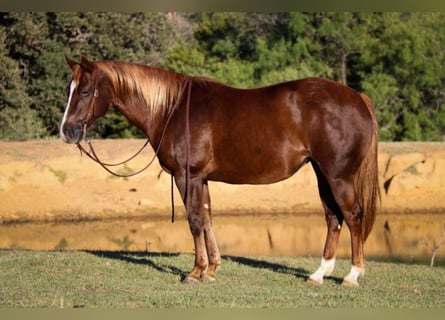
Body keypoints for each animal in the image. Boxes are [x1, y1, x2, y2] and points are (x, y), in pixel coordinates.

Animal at [59, 56, 378, 286]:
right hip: (322, 174)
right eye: (69, 90)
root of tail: (358, 98)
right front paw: (211, 269)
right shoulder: (202, 179)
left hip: (338, 177)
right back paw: (318, 274)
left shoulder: (187, 176)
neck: (171, 109)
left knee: (352, 216)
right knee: (333, 218)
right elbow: (208, 218)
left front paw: (195, 272)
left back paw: (352, 275)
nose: (67, 132)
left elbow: (194, 220)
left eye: (85, 91)